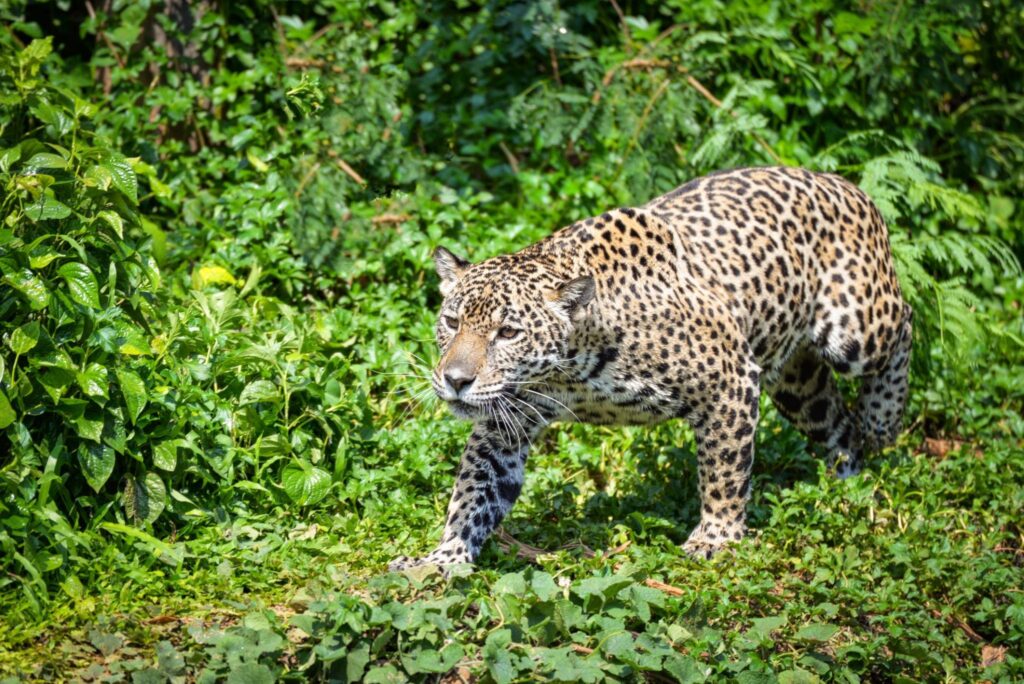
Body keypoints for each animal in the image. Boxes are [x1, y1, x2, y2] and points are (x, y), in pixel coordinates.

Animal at [389, 166, 912, 571]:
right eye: (452, 322)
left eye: (508, 333)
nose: (456, 380)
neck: (571, 367)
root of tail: (841, 181)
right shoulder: (506, 422)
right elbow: (475, 491)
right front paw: (444, 558)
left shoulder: (729, 380)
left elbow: (724, 471)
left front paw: (715, 538)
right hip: (797, 385)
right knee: (837, 422)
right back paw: (848, 481)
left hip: (857, 326)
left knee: (904, 323)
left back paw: (883, 422)